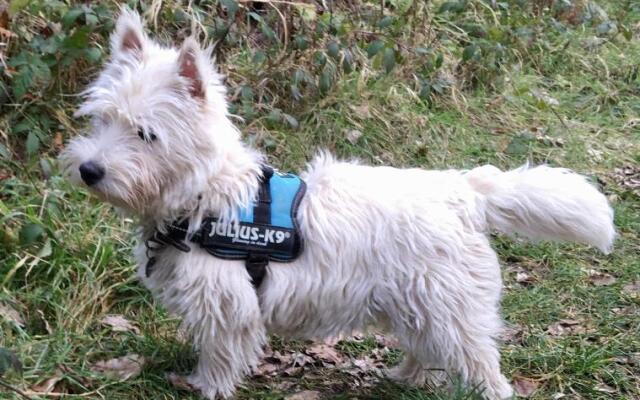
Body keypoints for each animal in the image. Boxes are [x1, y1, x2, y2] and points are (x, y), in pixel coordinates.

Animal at [62, 9, 616, 400]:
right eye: (102, 119)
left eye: (146, 134)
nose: (89, 170)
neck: (204, 195)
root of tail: (461, 193)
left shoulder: (227, 305)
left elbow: (218, 356)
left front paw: (205, 387)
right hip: (417, 304)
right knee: (427, 351)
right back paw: (405, 377)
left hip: (448, 306)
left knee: (481, 365)